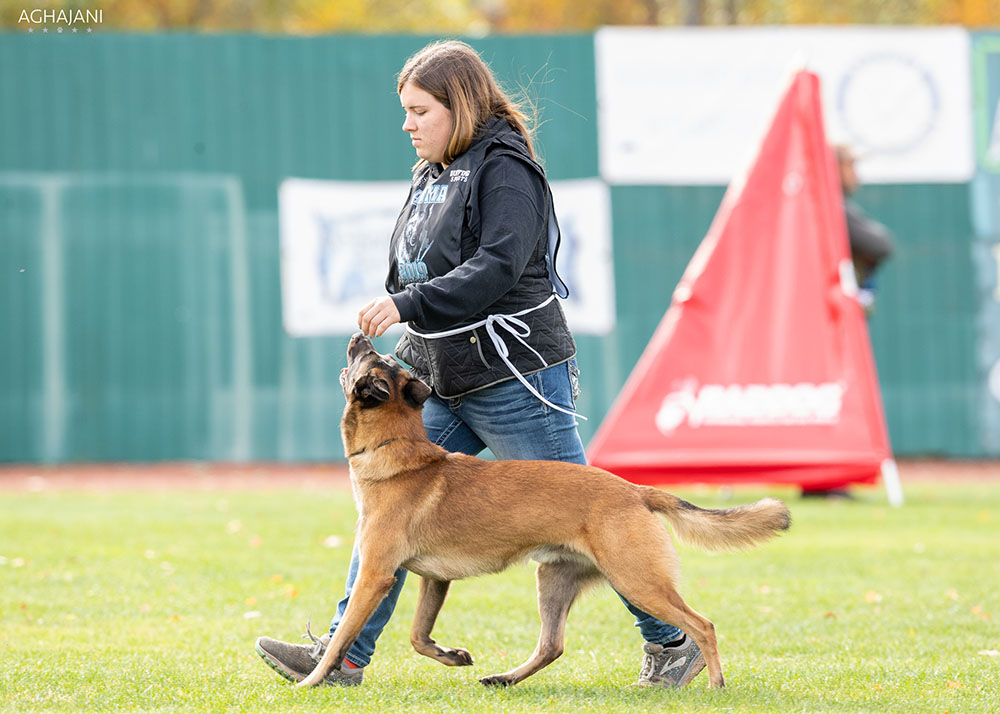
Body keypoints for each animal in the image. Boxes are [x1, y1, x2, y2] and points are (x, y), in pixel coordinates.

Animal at [296, 336, 788, 688]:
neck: (396, 447)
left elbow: (343, 636)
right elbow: (418, 636)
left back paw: (716, 684)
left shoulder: (375, 575)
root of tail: (634, 490)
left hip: (635, 579)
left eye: (369, 356)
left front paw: (313, 681)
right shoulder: (434, 579)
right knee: (552, 645)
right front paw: (451, 655)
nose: (360, 333)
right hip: (555, 579)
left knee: (702, 625)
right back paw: (505, 678)